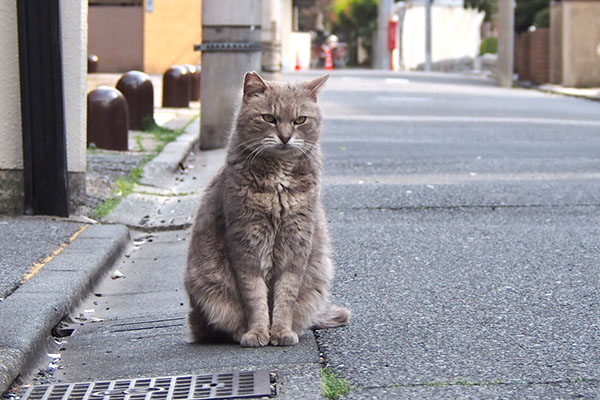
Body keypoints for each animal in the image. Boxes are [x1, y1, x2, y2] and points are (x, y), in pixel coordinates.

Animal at [185, 70, 350, 346]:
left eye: (300, 120)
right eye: (269, 118)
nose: (285, 136)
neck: (278, 184)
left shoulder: (297, 245)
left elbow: (286, 296)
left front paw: (281, 331)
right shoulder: (246, 245)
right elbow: (255, 297)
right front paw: (258, 332)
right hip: (207, 287)